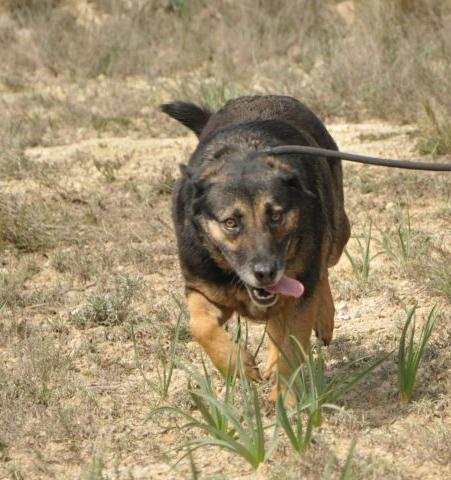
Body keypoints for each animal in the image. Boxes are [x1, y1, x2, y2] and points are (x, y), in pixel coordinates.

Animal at [163, 94, 354, 398]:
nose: (265, 273)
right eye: (231, 223)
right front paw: (236, 364)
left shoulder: (298, 295)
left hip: (336, 231)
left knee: (323, 266)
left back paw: (323, 319)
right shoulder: (202, 289)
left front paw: (284, 400)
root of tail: (265, 95)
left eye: (276, 217)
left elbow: (292, 350)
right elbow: (200, 326)